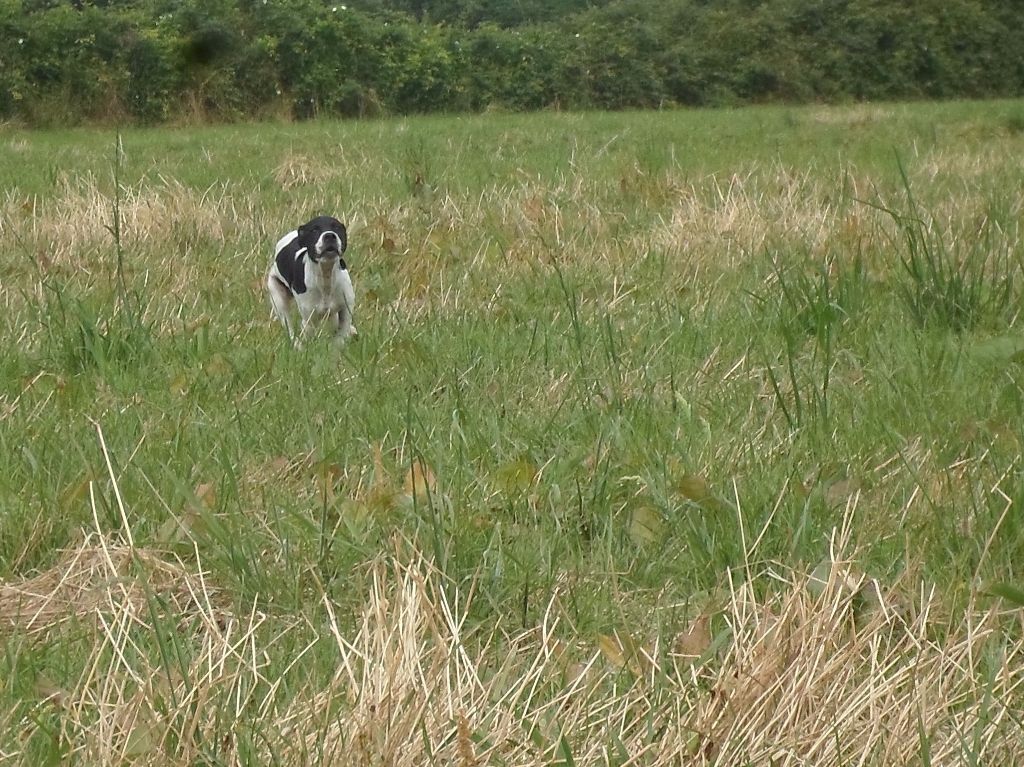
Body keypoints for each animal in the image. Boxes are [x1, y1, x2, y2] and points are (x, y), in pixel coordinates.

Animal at [266, 215, 358, 346]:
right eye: (314, 230)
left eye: (336, 228)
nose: (329, 235)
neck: (326, 275)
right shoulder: (310, 318)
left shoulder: (346, 309)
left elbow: (339, 338)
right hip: (278, 299)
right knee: (289, 328)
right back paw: (297, 345)